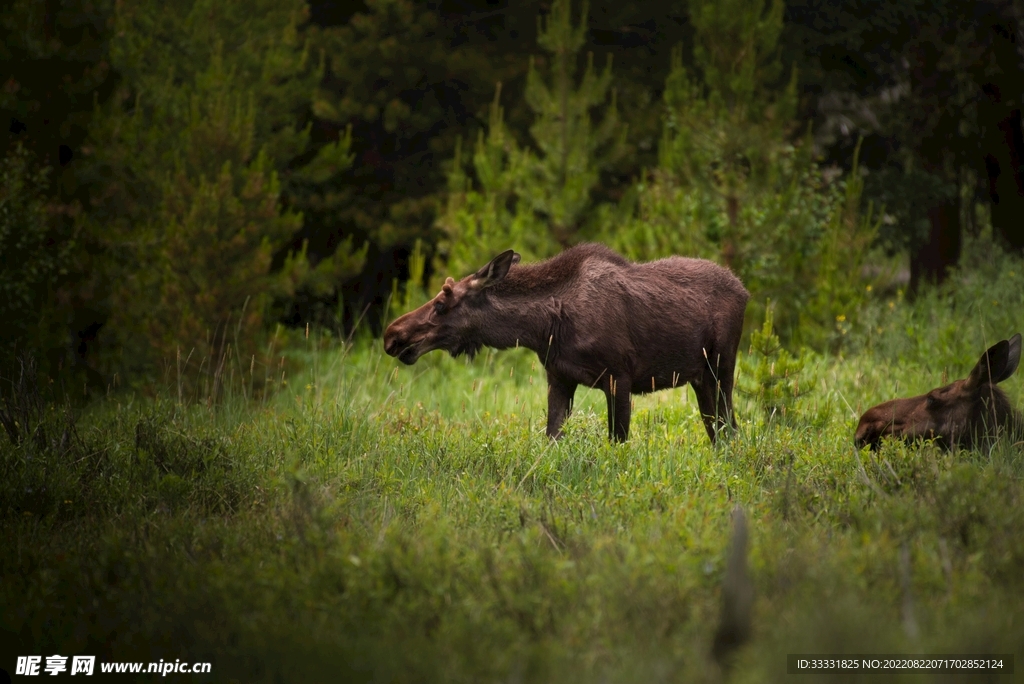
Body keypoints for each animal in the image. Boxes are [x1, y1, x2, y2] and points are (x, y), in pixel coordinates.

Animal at [383, 244, 749, 443]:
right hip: (701, 377)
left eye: (442, 303)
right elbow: (551, 437)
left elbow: (617, 441)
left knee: (730, 428)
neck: (544, 327)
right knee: (718, 431)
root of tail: (745, 291)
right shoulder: (559, 377)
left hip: (722, 367)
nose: (393, 336)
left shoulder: (619, 377)